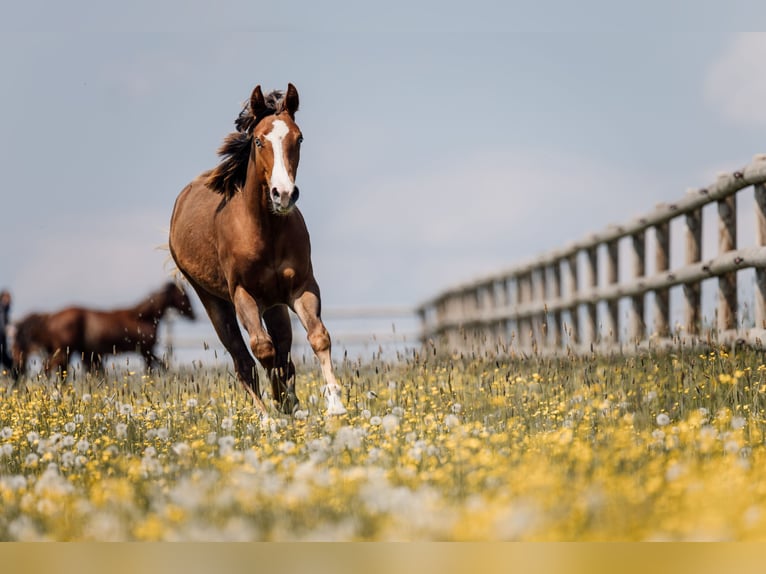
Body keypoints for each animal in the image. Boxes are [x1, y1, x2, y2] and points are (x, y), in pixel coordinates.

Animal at [12, 282, 195, 377]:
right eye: (184, 295)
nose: (194, 315)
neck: (142, 318)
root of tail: (50, 318)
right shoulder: (146, 350)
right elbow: (157, 367)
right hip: (64, 350)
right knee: (50, 367)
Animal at [168, 83, 347, 416]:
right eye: (258, 140)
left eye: (298, 137)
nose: (284, 194)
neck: (265, 230)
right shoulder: (243, 294)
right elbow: (263, 350)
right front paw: (277, 409)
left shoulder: (302, 286)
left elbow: (318, 337)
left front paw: (334, 405)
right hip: (215, 302)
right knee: (244, 360)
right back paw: (267, 415)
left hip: (274, 303)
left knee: (284, 351)